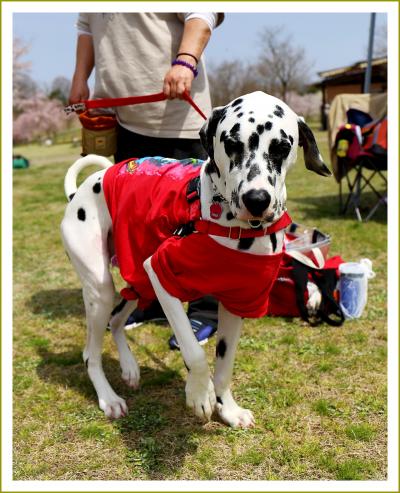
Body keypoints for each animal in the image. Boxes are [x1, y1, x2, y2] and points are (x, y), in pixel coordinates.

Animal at [61, 91, 330, 426]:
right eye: (232, 143)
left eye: (282, 147)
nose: (256, 200)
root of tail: (79, 193)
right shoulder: (162, 275)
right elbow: (194, 352)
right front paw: (200, 395)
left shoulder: (238, 302)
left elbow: (225, 365)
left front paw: (228, 409)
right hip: (102, 289)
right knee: (91, 353)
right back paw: (109, 398)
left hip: (139, 282)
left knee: (116, 320)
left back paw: (129, 367)